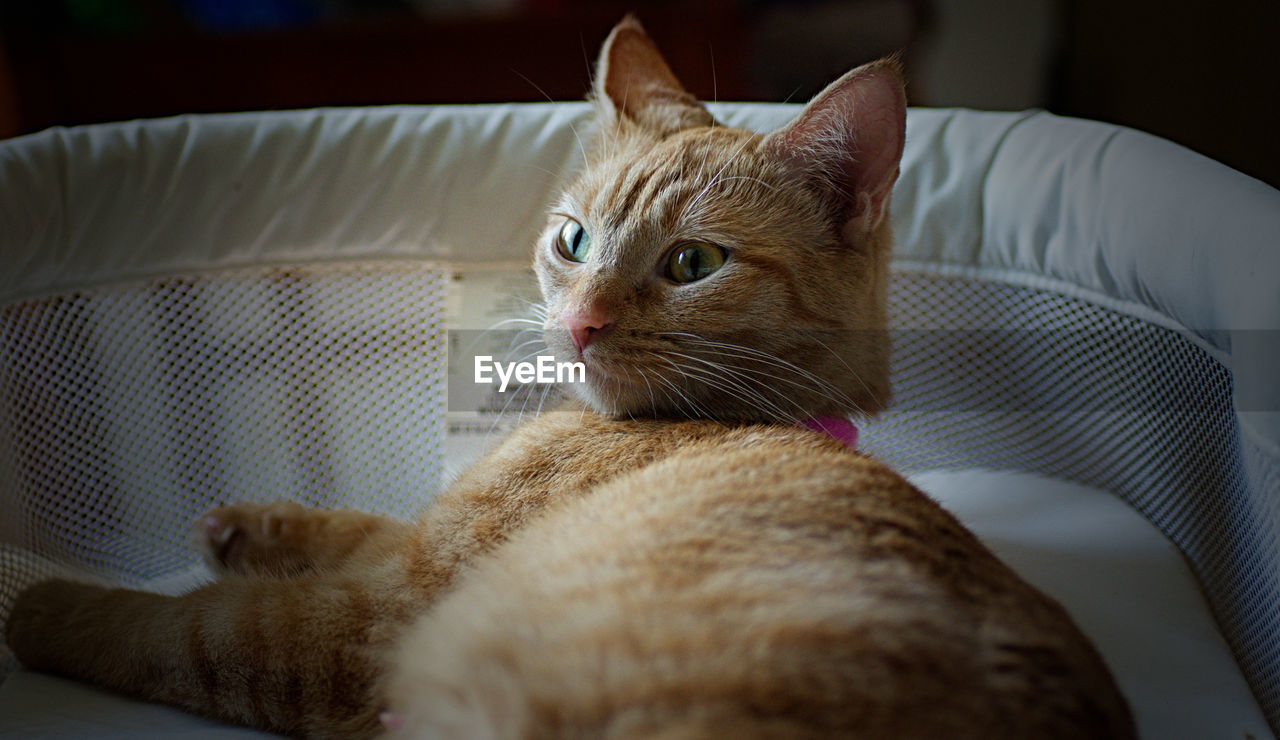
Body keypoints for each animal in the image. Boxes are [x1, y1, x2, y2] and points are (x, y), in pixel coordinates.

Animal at [7, 17, 1131, 737]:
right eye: (574, 239)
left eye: (693, 263)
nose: (579, 321)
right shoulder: (416, 547)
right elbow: (359, 525)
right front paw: (247, 527)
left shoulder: (380, 618)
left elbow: (187, 625)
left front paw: (47, 607)